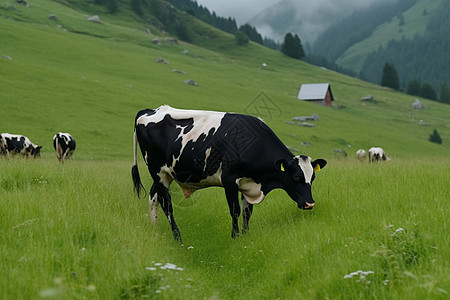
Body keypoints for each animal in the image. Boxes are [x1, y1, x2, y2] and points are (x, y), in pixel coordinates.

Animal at [132, 106, 326, 243]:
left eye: (313, 178)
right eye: (296, 177)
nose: (309, 203)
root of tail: (150, 110)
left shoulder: (249, 184)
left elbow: (247, 212)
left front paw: (245, 237)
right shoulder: (229, 180)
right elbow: (235, 211)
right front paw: (235, 237)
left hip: (166, 174)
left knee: (153, 196)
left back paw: (155, 229)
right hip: (157, 171)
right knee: (167, 204)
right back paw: (178, 238)